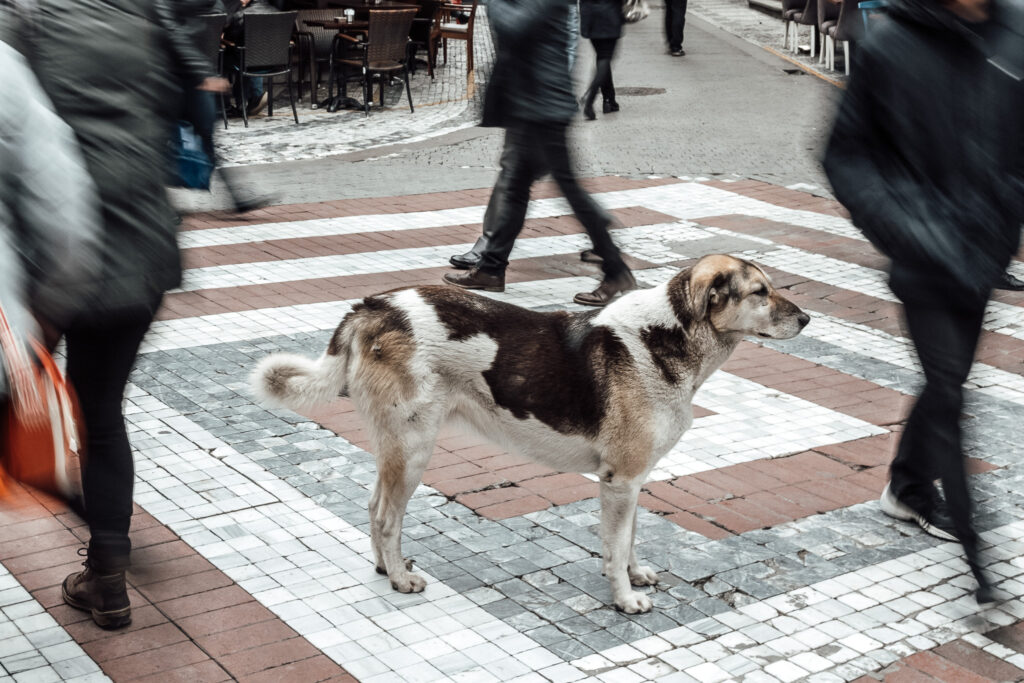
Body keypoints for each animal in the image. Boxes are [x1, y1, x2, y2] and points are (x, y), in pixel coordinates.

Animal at [249, 253, 806, 610]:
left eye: (773, 287)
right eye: (760, 293)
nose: (806, 318)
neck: (665, 337)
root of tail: (371, 307)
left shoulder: (632, 483)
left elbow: (629, 541)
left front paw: (634, 575)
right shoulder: (620, 482)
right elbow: (614, 547)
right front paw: (624, 599)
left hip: (398, 447)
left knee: (372, 508)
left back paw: (387, 568)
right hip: (413, 449)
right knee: (387, 517)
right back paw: (402, 579)